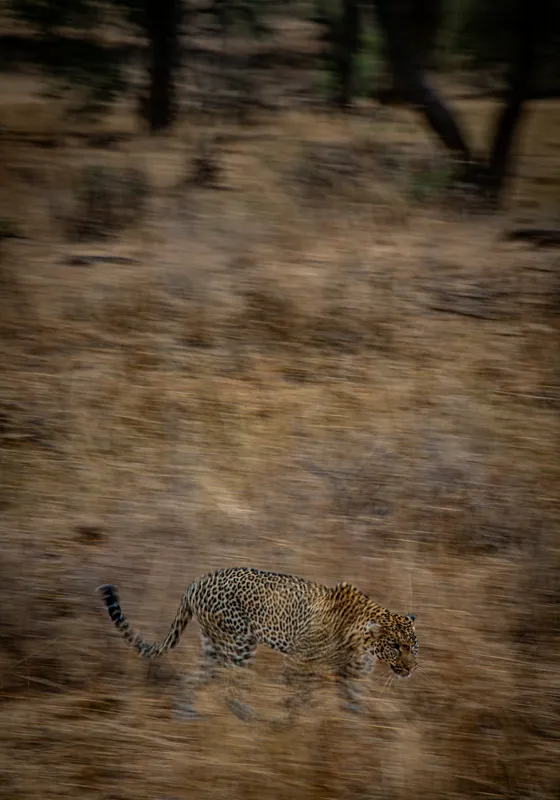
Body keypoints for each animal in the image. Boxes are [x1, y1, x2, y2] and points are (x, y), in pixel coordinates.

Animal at [98, 567, 418, 721]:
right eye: (395, 646)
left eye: (413, 645)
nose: (412, 667)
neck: (363, 641)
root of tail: (195, 583)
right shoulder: (300, 661)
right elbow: (298, 698)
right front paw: (290, 724)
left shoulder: (353, 677)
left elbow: (354, 706)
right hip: (239, 644)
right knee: (230, 687)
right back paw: (249, 718)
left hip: (214, 647)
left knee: (192, 678)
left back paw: (186, 715)